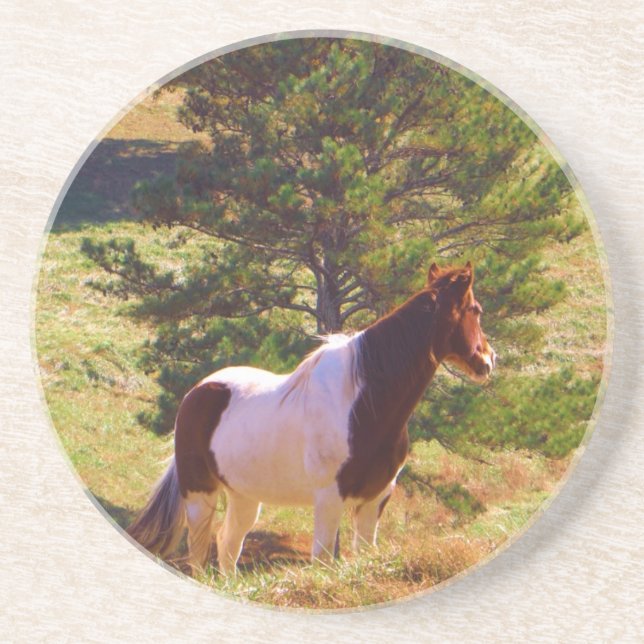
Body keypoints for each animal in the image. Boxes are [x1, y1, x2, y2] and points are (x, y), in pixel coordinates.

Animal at [127, 261, 496, 574]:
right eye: (475, 310)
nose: (489, 360)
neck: (363, 403)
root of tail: (197, 392)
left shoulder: (376, 497)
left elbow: (364, 555)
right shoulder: (329, 498)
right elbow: (323, 562)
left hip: (245, 497)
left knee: (228, 544)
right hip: (200, 495)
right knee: (200, 551)